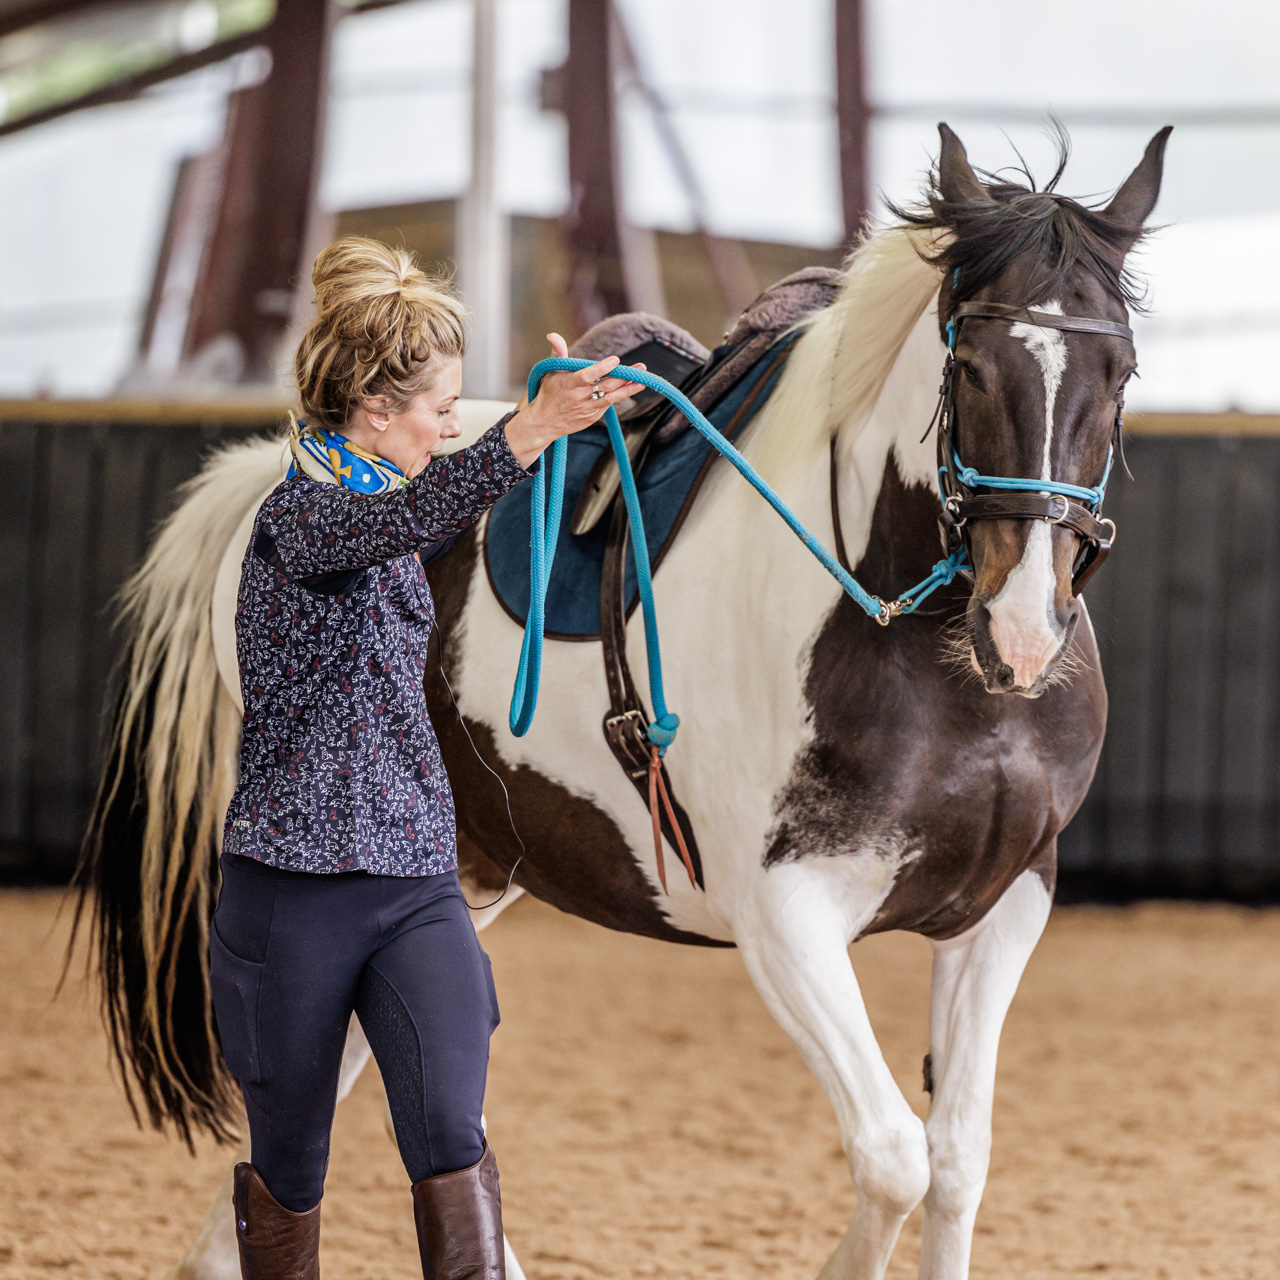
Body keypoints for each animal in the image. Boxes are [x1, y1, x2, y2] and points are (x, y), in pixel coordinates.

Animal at [70, 122, 1172, 1280]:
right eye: (967, 365)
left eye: (1122, 369)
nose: (1023, 628)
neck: (919, 648)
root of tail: (280, 488)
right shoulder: (784, 920)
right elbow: (893, 1157)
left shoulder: (1003, 908)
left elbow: (957, 1161)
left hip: (463, 870)